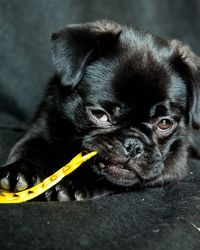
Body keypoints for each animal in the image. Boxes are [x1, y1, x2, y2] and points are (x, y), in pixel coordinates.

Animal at [0, 20, 200, 201]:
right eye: (99, 115)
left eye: (164, 124)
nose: (134, 145)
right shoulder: (41, 127)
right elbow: (28, 149)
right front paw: (20, 171)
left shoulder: (174, 164)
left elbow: (107, 178)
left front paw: (75, 183)